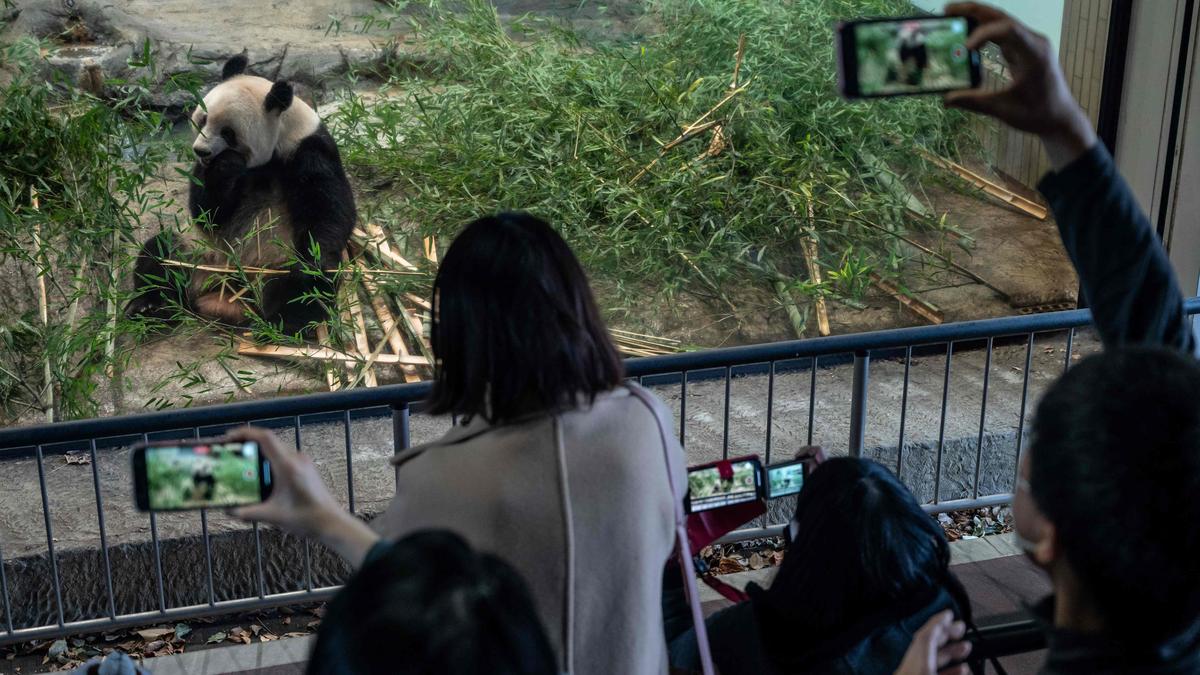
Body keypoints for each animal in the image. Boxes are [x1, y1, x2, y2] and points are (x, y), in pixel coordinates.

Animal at [126, 54, 356, 335]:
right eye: (202, 120)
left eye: (228, 132)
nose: (201, 151)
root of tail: (228, 295)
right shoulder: (206, 174)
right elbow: (207, 213)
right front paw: (224, 168)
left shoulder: (309, 150)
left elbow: (328, 209)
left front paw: (316, 256)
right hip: (202, 256)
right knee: (162, 254)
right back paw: (149, 307)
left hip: (273, 263)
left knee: (306, 288)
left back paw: (285, 320)